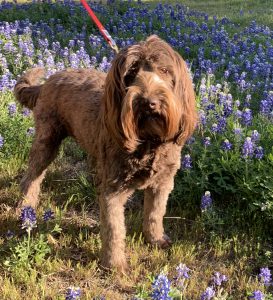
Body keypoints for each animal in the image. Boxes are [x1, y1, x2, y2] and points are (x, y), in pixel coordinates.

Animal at [14, 35, 196, 272]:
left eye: (164, 70)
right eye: (130, 73)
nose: (149, 103)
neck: (148, 139)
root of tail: (47, 81)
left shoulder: (162, 183)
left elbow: (155, 213)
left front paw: (155, 239)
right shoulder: (114, 188)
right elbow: (114, 228)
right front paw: (114, 264)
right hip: (47, 140)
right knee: (31, 177)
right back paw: (26, 207)